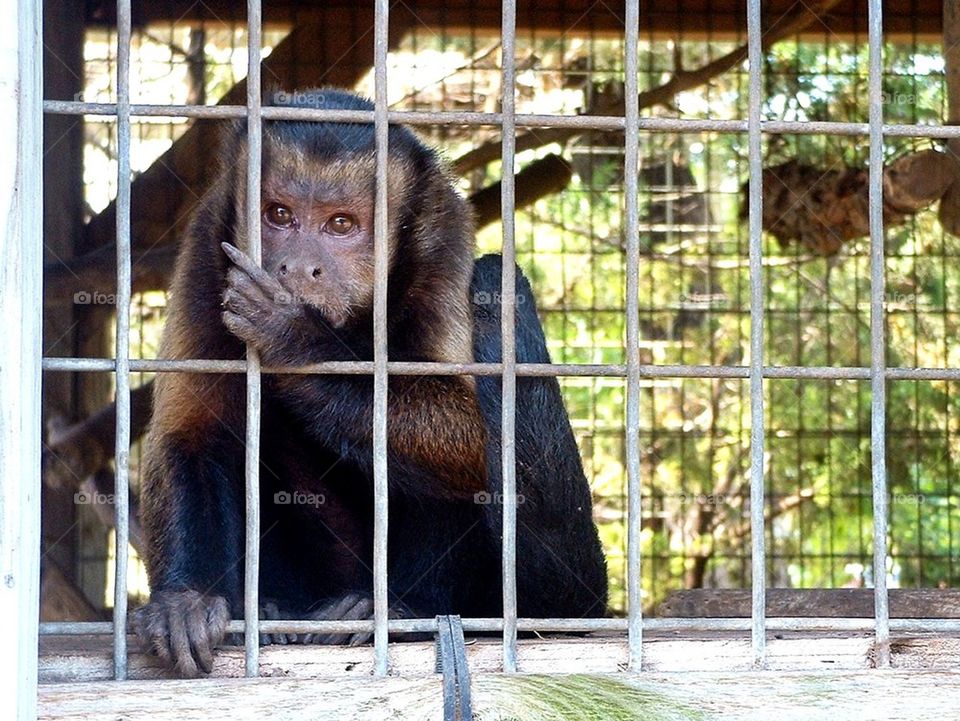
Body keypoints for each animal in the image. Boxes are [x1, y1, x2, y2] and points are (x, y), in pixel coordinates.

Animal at [133, 88, 608, 676]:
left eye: (341, 225)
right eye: (279, 215)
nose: (297, 267)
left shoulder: (443, 253)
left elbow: (479, 438)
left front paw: (299, 340)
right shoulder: (207, 249)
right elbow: (192, 434)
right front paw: (188, 598)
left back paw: (399, 610)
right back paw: (270, 609)